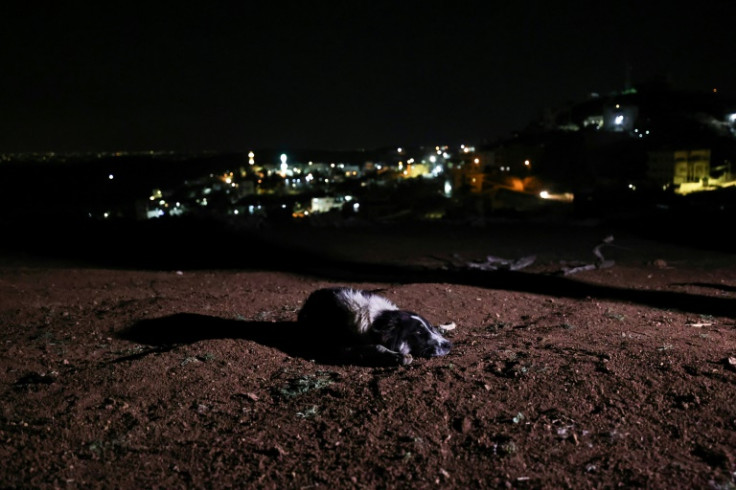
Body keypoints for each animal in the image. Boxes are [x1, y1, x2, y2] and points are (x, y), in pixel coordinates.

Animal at [296, 288, 452, 364]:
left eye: (430, 327)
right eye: (418, 333)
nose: (449, 345)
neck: (378, 319)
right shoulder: (339, 347)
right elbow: (375, 347)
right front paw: (396, 356)